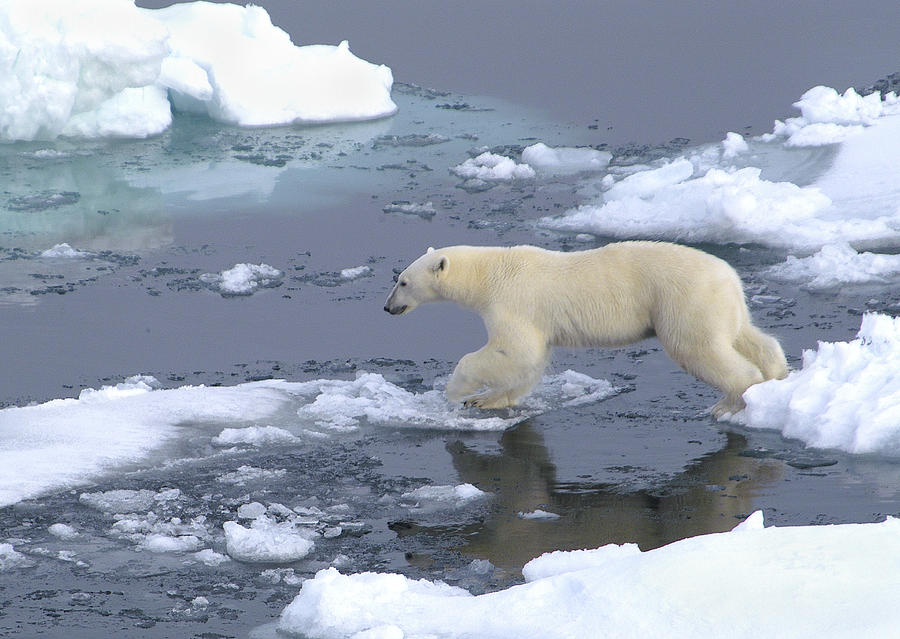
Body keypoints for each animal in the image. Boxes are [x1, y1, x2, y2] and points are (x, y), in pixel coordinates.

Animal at [384, 242, 788, 418]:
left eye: (402, 281)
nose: (387, 307)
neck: (491, 272)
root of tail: (729, 274)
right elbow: (529, 361)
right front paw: (488, 399)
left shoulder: (514, 301)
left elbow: (513, 351)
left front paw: (457, 392)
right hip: (722, 303)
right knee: (747, 336)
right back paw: (777, 375)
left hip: (683, 299)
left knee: (698, 348)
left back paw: (729, 402)